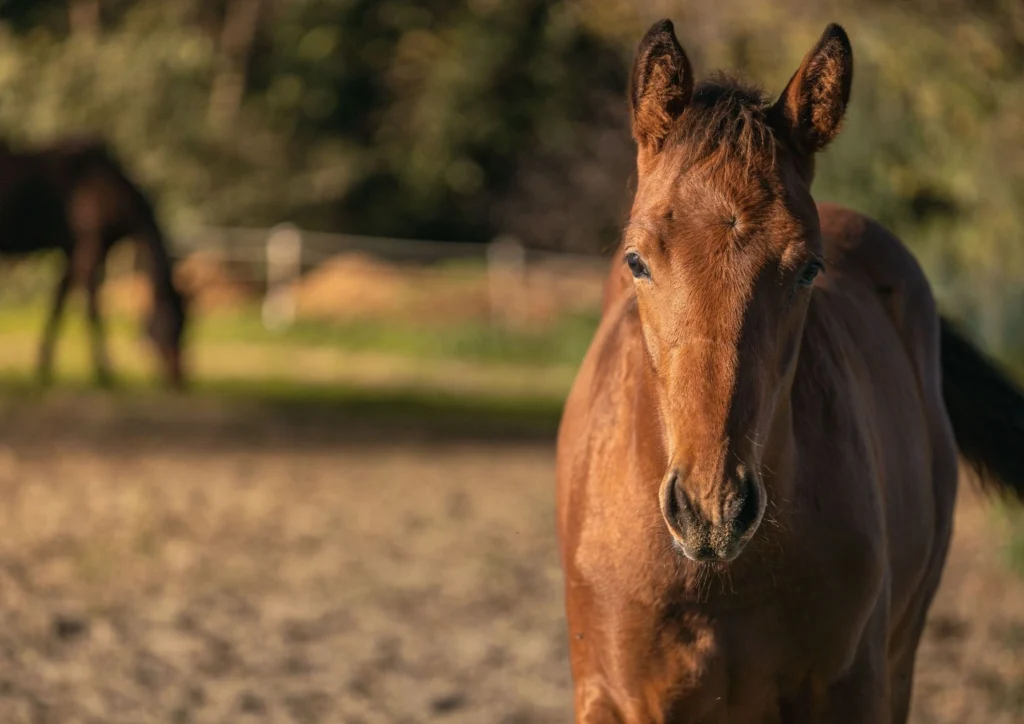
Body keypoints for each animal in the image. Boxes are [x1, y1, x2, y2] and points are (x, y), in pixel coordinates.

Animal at [0, 138, 187, 387]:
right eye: (172, 321)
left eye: (187, 323)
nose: (179, 377)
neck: (108, 188)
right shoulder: (90, 246)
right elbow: (92, 306)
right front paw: (104, 372)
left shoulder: (73, 251)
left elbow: (59, 302)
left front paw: (43, 367)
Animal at [556, 20, 1024, 722]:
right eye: (635, 261)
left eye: (808, 269)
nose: (712, 510)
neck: (721, 579)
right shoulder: (614, 700)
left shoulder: (855, 691)